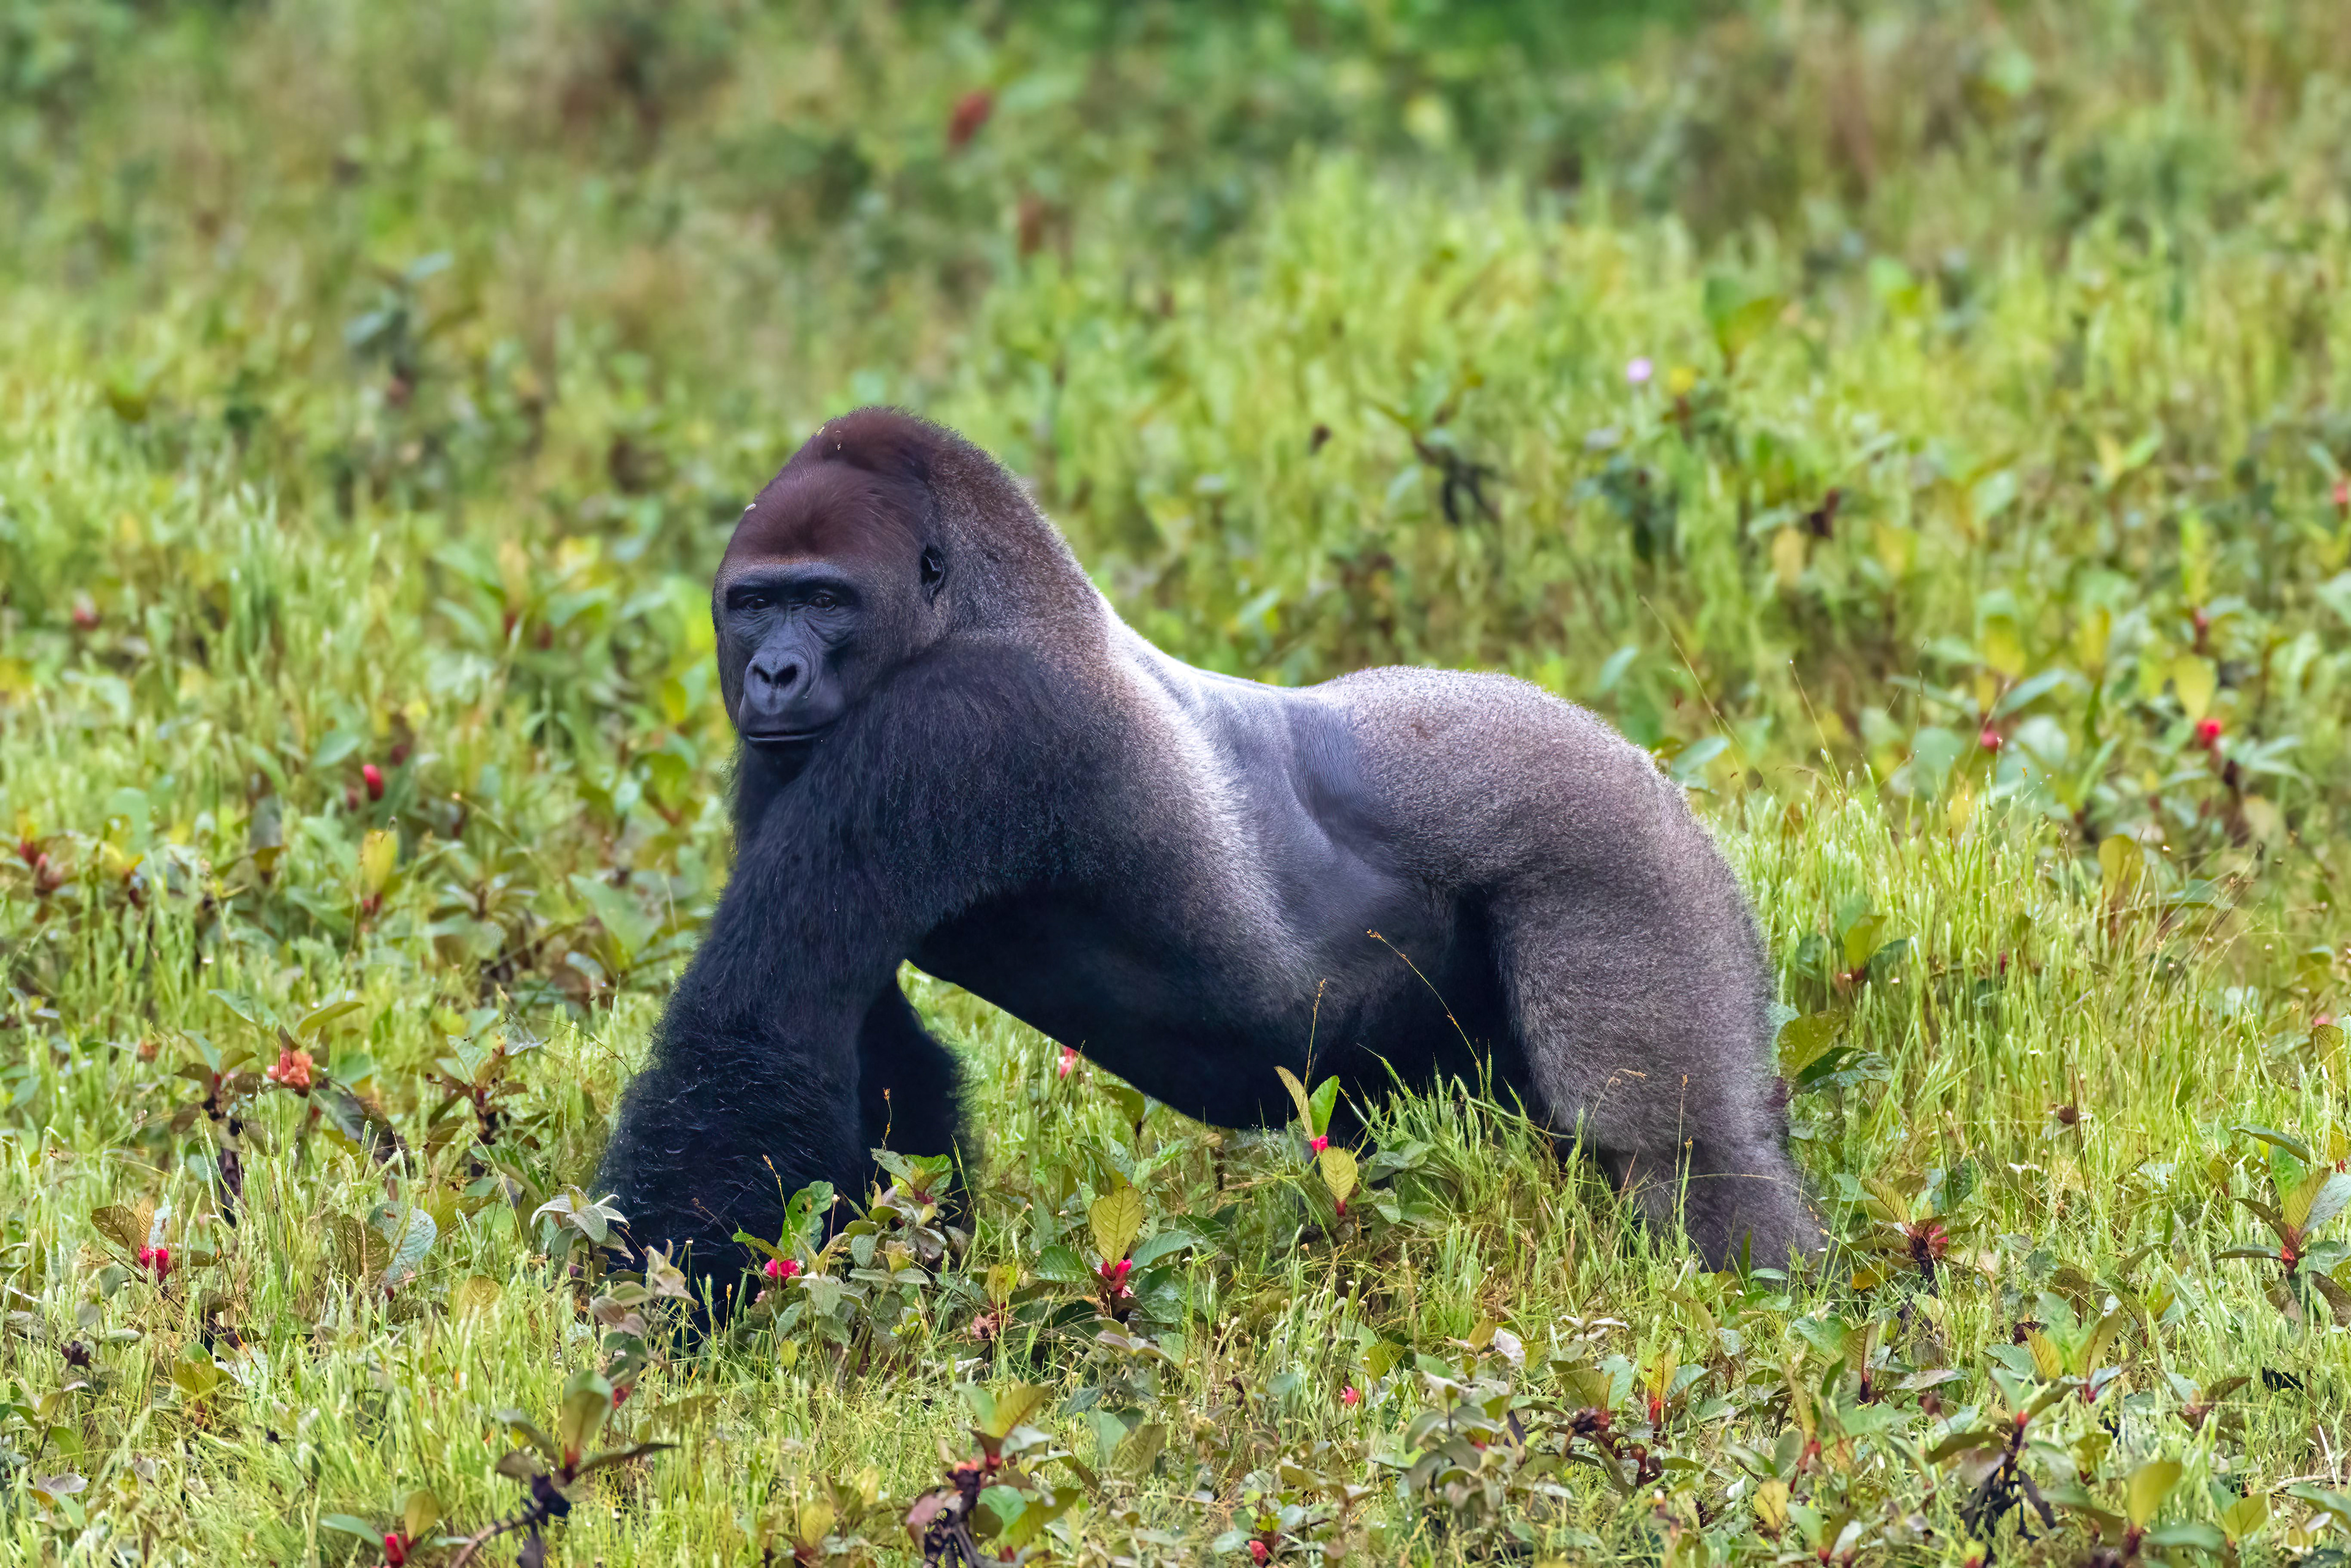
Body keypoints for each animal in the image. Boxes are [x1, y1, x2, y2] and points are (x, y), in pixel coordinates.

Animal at [592, 407, 1822, 1296]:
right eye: (752, 604)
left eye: (824, 599)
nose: (774, 672)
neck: (987, 605)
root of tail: (1641, 763)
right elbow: (864, 1043)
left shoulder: (961, 724)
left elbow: (758, 1029)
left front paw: (662, 1329)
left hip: (1616, 852)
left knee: (1673, 1151)